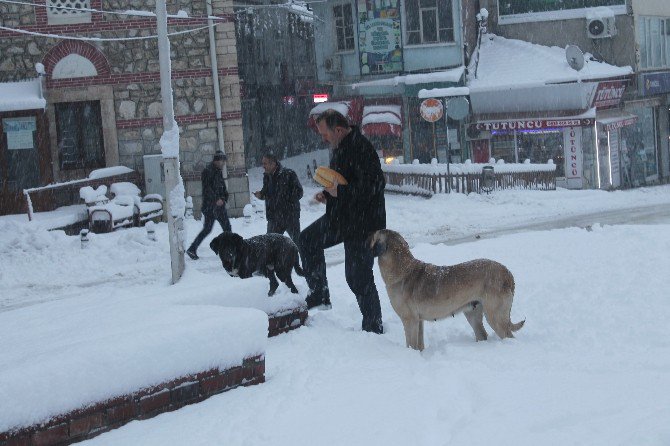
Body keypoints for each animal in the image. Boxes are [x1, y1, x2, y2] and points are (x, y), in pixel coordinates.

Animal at [372, 230, 524, 352]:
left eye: (371, 236)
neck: (402, 269)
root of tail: (508, 274)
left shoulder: (409, 320)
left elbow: (411, 344)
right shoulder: (418, 321)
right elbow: (419, 345)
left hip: (495, 315)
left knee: (508, 335)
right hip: (473, 313)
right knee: (482, 334)